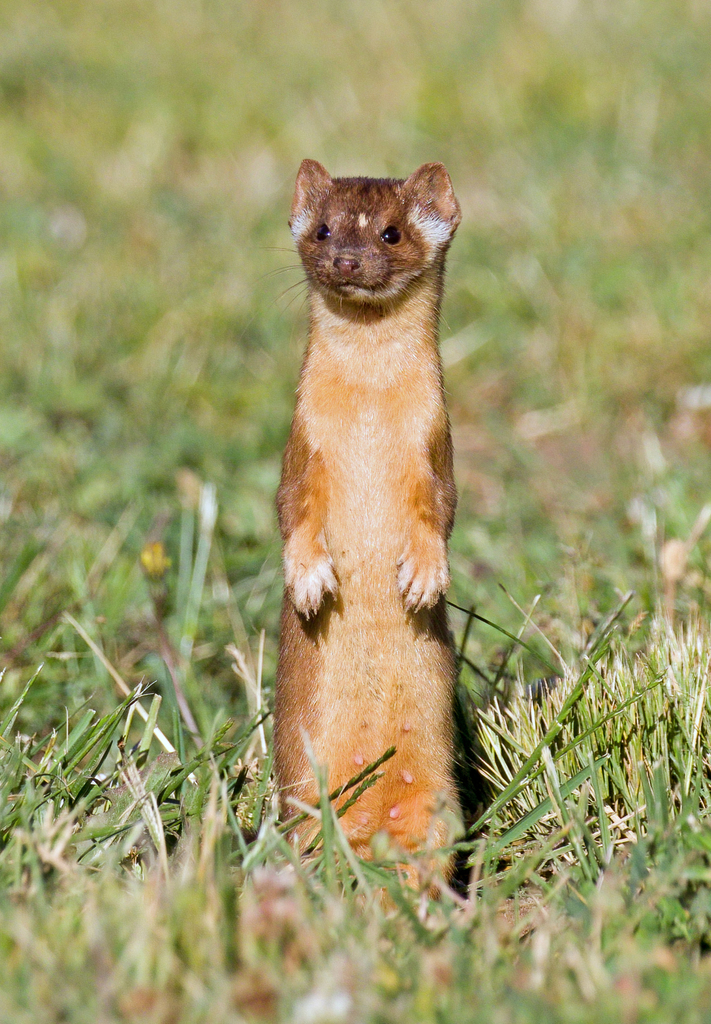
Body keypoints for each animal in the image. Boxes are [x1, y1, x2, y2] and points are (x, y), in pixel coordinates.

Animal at [272, 159, 463, 872]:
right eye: (324, 229)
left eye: (390, 232)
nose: (348, 259)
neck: (370, 415)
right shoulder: (303, 445)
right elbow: (290, 509)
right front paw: (309, 580)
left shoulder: (433, 445)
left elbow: (441, 510)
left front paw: (424, 577)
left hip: (439, 797)